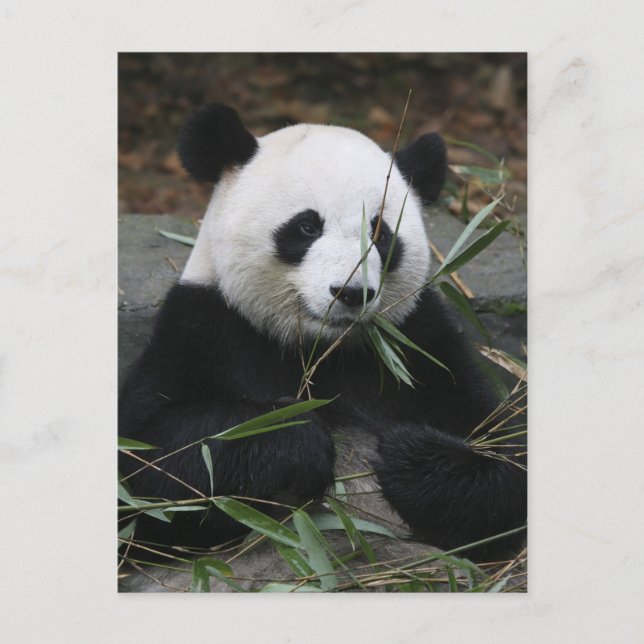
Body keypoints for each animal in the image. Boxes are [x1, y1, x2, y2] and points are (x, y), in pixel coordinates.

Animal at [118, 103, 526, 589]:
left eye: (380, 233)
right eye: (307, 226)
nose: (350, 293)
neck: (322, 350)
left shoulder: (420, 344)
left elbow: (506, 456)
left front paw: (406, 454)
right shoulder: (204, 328)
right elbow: (153, 464)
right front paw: (296, 439)